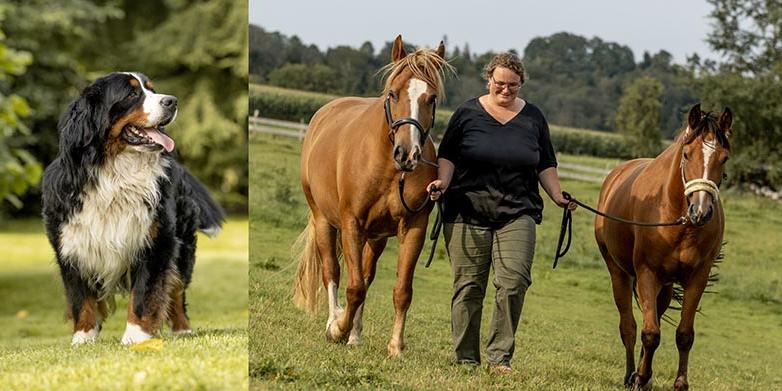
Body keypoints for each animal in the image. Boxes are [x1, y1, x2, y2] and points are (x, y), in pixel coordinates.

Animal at [41, 72, 225, 346]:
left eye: (152, 90)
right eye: (131, 94)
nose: (172, 101)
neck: (116, 175)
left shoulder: (155, 242)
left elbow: (144, 293)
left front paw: (136, 336)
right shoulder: (71, 245)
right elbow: (81, 298)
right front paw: (83, 337)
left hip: (182, 247)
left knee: (177, 290)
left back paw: (183, 329)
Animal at [294, 36, 454, 358]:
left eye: (431, 98)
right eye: (393, 93)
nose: (407, 154)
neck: (390, 170)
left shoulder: (413, 227)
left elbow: (401, 290)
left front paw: (396, 347)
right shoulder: (351, 224)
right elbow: (352, 286)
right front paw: (337, 329)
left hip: (376, 237)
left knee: (366, 276)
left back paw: (355, 334)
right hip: (324, 221)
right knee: (333, 271)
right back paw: (335, 321)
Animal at [600, 105, 736, 391]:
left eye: (724, 158)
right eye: (686, 154)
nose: (701, 210)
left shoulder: (697, 279)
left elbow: (683, 334)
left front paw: (680, 383)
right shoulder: (646, 273)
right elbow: (650, 333)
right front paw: (640, 378)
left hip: (665, 284)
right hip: (620, 273)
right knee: (629, 326)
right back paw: (631, 375)